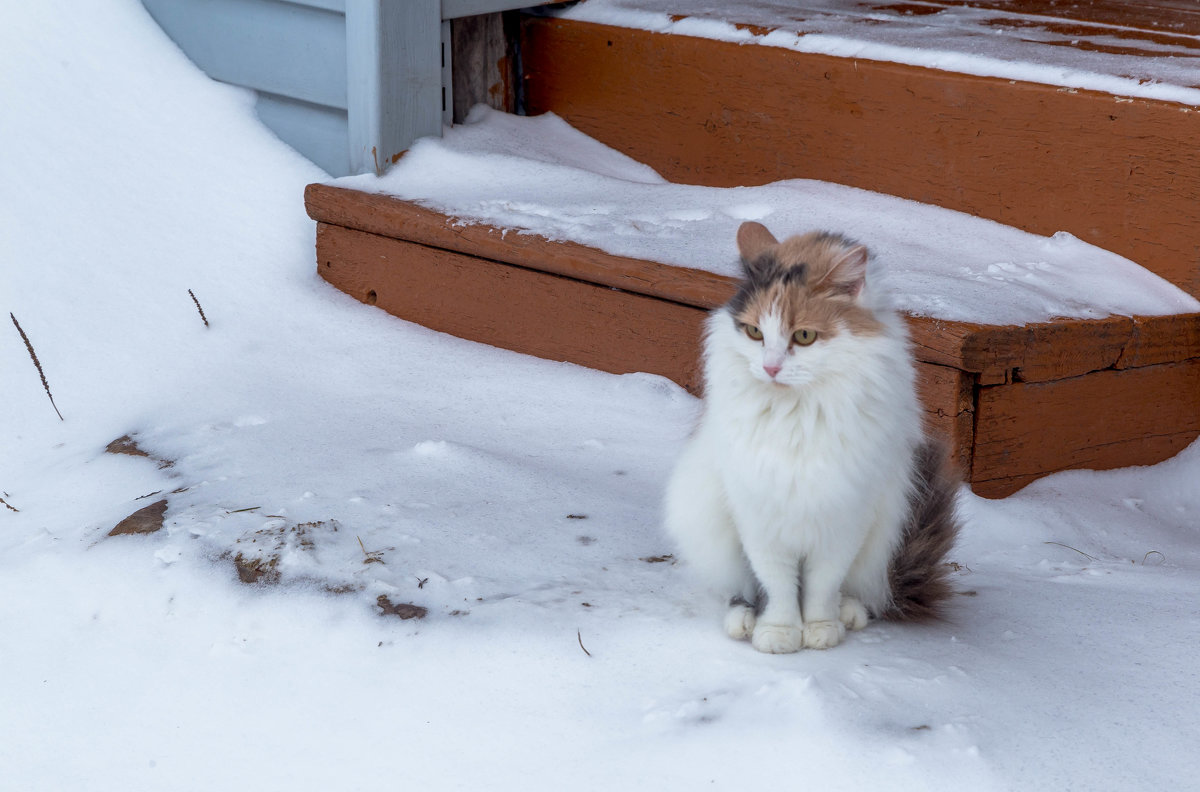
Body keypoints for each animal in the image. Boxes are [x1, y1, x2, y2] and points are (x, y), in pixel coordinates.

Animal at [662, 219, 960, 652]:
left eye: (804, 336)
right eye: (754, 332)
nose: (770, 368)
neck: (799, 415)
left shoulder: (845, 516)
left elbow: (822, 584)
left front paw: (820, 629)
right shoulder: (759, 514)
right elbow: (777, 585)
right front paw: (779, 632)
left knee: (862, 590)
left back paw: (849, 613)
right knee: (740, 590)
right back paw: (742, 620)